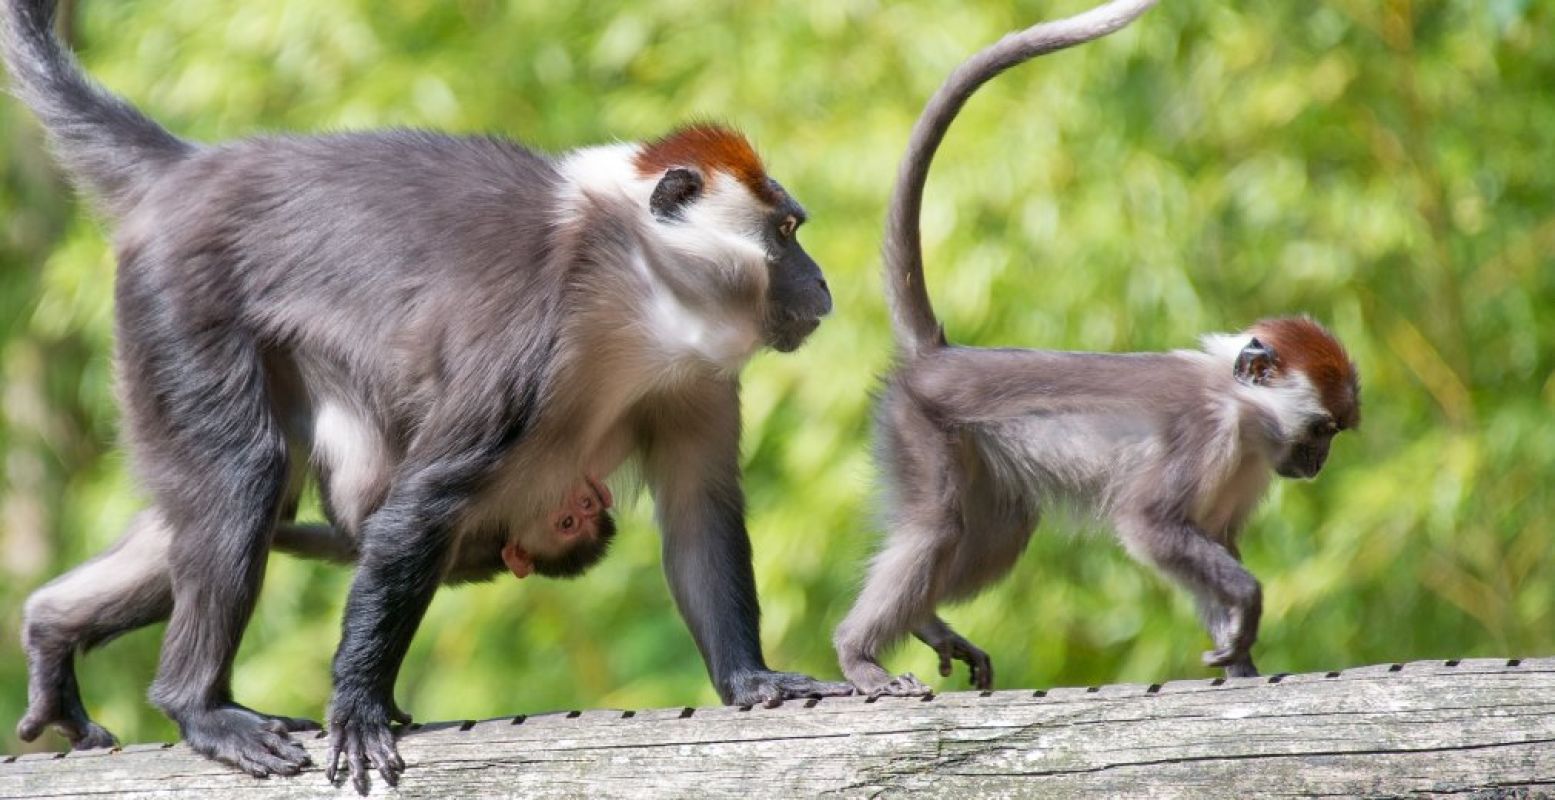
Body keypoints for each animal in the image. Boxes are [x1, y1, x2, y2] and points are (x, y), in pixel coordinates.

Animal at [833, 0, 1355, 691]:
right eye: (1321, 431)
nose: (1318, 463)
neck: (1243, 411)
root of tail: (941, 356)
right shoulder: (1205, 434)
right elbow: (1149, 526)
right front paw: (1247, 612)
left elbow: (1210, 540)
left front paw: (1241, 660)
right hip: (916, 424)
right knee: (938, 528)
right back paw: (857, 654)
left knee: (1002, 531)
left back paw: (924, 624)